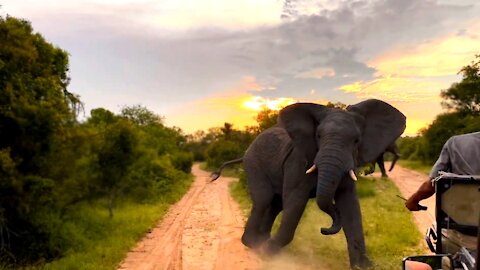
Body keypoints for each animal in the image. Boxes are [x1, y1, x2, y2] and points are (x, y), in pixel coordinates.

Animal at [210, 98, 404, 268]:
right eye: (318, 135)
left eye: (356, 140)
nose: (323, 229)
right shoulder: (297, 161)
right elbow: (295, 202)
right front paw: (269, 253)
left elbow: (350, 206)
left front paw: (364, 266)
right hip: (254, 164)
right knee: (264, 200)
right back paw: (253, 245)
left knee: (275, 205)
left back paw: (260, 242)